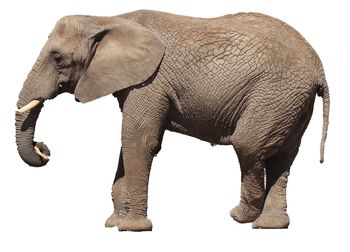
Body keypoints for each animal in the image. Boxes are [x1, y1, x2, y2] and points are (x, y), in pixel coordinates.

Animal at [15, 9, 328, 230]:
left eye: (57, 58)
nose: (44, 148)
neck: (108, 19)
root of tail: (319, 70)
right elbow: (127, 143)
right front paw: (113, 224)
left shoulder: (150, 82)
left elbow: (139, 141)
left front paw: (132, 229)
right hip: (290, 102)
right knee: (282, 156)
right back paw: (270, 226)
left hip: (275, 94)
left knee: (248, 145)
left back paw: (240, 217)